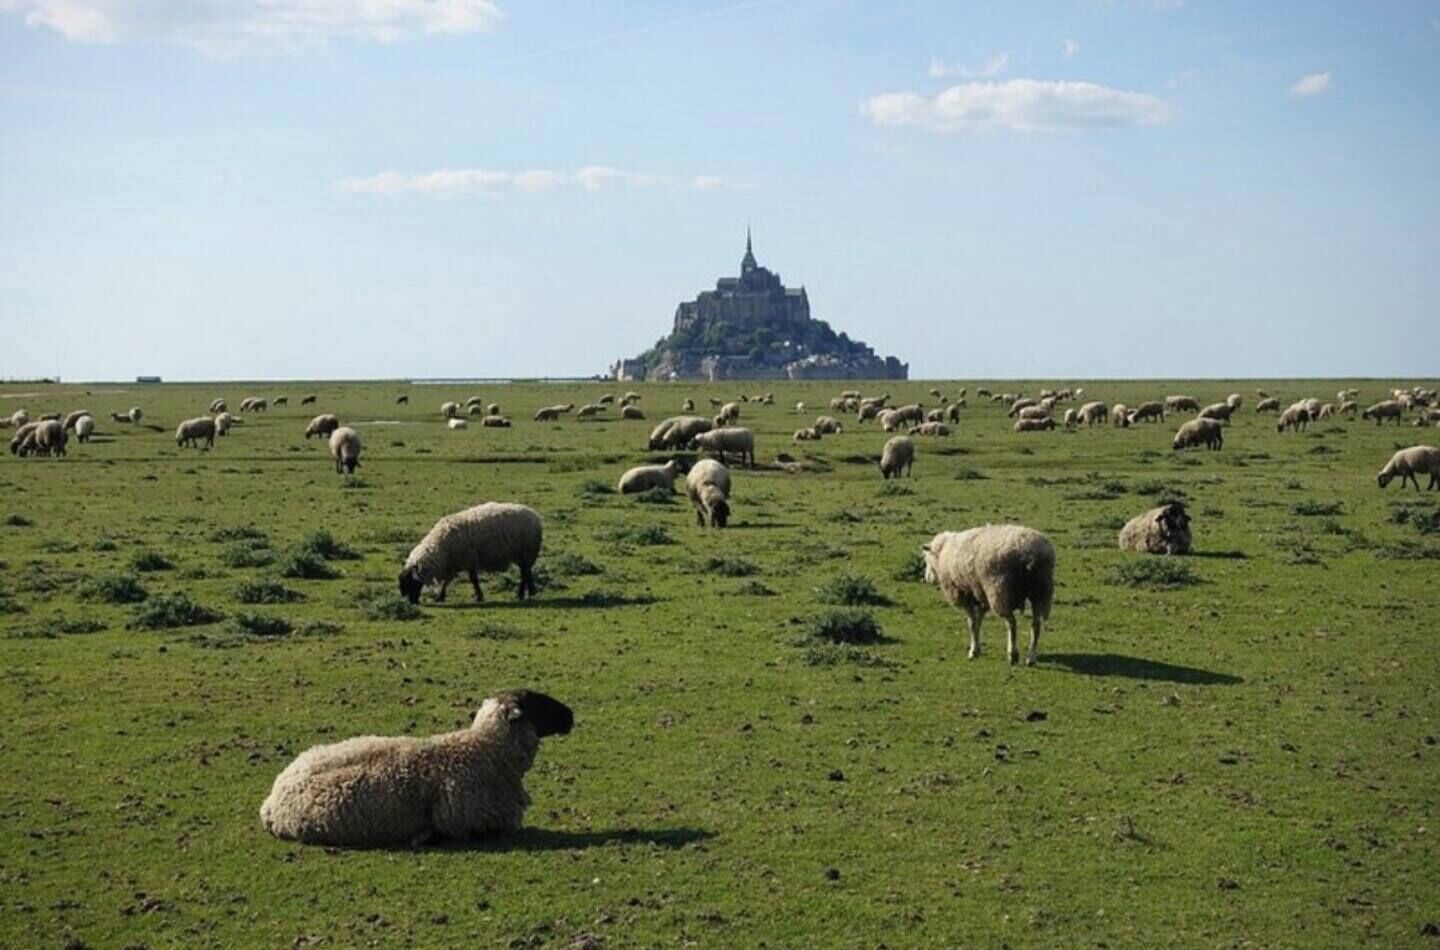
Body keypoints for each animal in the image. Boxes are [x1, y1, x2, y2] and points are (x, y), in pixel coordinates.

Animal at [398, 502, 543, 603]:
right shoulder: (452, 564)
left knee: (524, 573)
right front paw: (440, 597)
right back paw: (531, 591)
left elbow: (473, 579)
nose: (412, 603)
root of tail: (535, 515)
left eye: (409, 582)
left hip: (526, 551)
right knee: (527, 572)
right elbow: (446, 581)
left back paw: (521, 594)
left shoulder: (469, 559)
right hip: (524, 554)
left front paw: (479, 596)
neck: (440, 547)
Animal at [922, 525, 1055, 667]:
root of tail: (1032, 555)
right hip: (1041, 592)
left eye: (927, 560)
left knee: (1011, 622)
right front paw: (977, 648)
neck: (943, 552)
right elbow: (978, 621)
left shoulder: (963, 593)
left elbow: (971, 622)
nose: (927, 579)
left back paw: (1012, 655)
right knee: (1036, 625)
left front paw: (973, 651)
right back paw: (1031, 658)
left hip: (998, 589)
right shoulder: (982, 594)